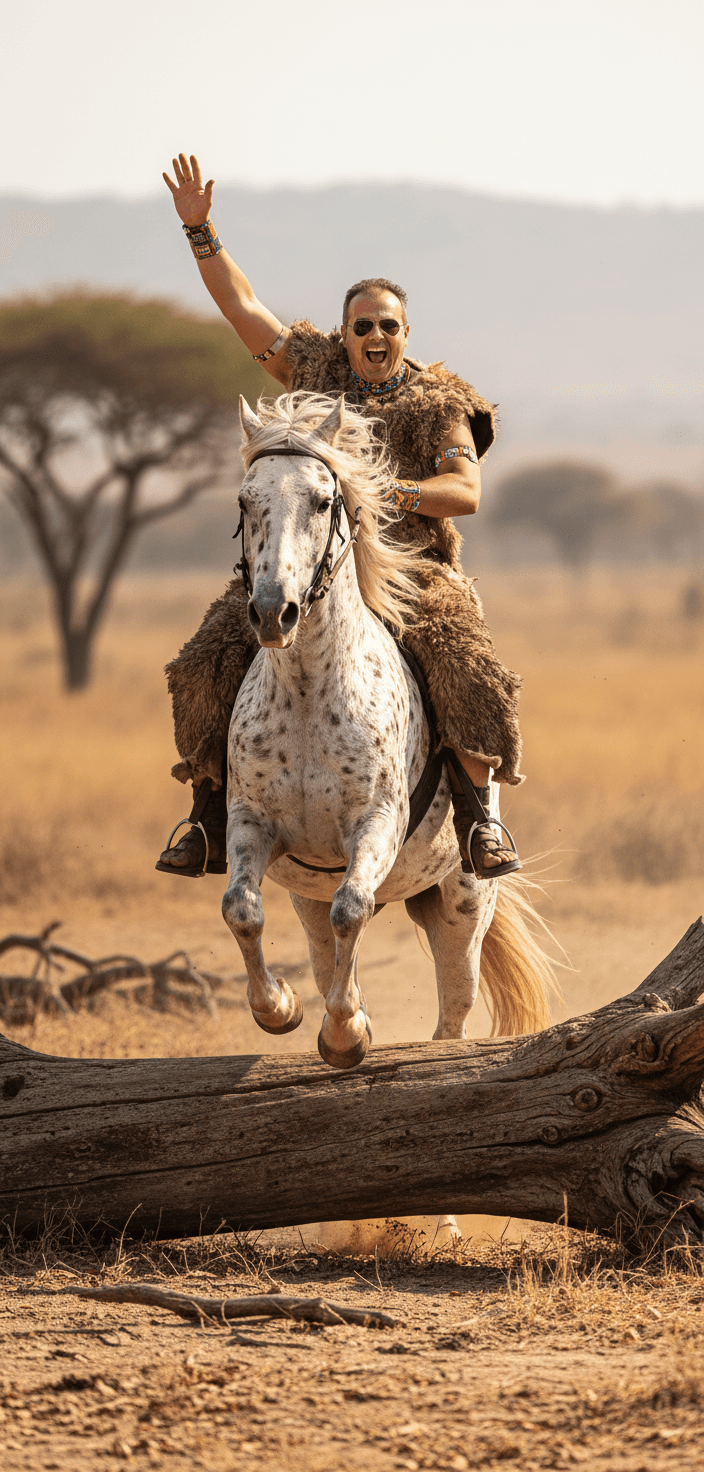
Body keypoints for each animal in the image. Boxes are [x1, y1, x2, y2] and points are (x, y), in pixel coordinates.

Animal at [221, 390, 556, 1081]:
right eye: (246, 499)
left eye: (324, 500)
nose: (272, 612)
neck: (309, 693)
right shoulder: (252, 822)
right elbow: (242, 909)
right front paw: (281, 1009)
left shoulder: (375, 822)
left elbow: (354, 907)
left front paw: (347, 1035)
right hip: (309, 898)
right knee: (324, 944)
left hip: (461, 907)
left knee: (453, 1013)